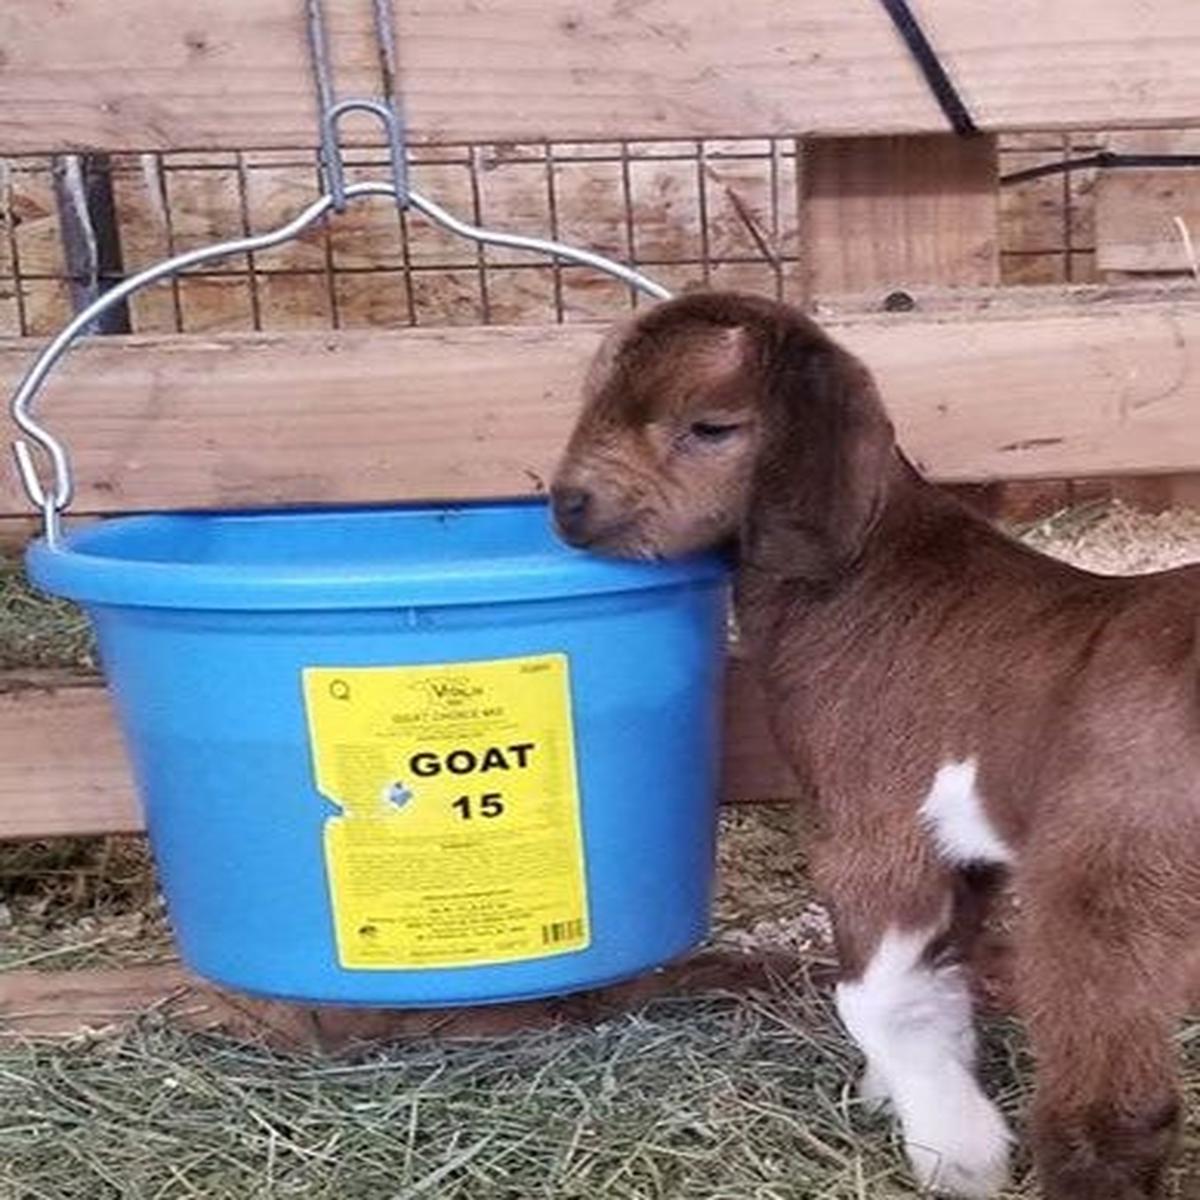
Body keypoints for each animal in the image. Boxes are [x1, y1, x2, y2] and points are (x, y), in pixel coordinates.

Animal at [550, 290, 1200, 1199]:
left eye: (711, 426)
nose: (568, 507)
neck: (863, 573)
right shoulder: (968, 852)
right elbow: (944, 978)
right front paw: (902, 1097)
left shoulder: (875, 826)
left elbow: (878, 999)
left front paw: (959, 1153)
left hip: (1109, 881)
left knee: (1115, 1104)